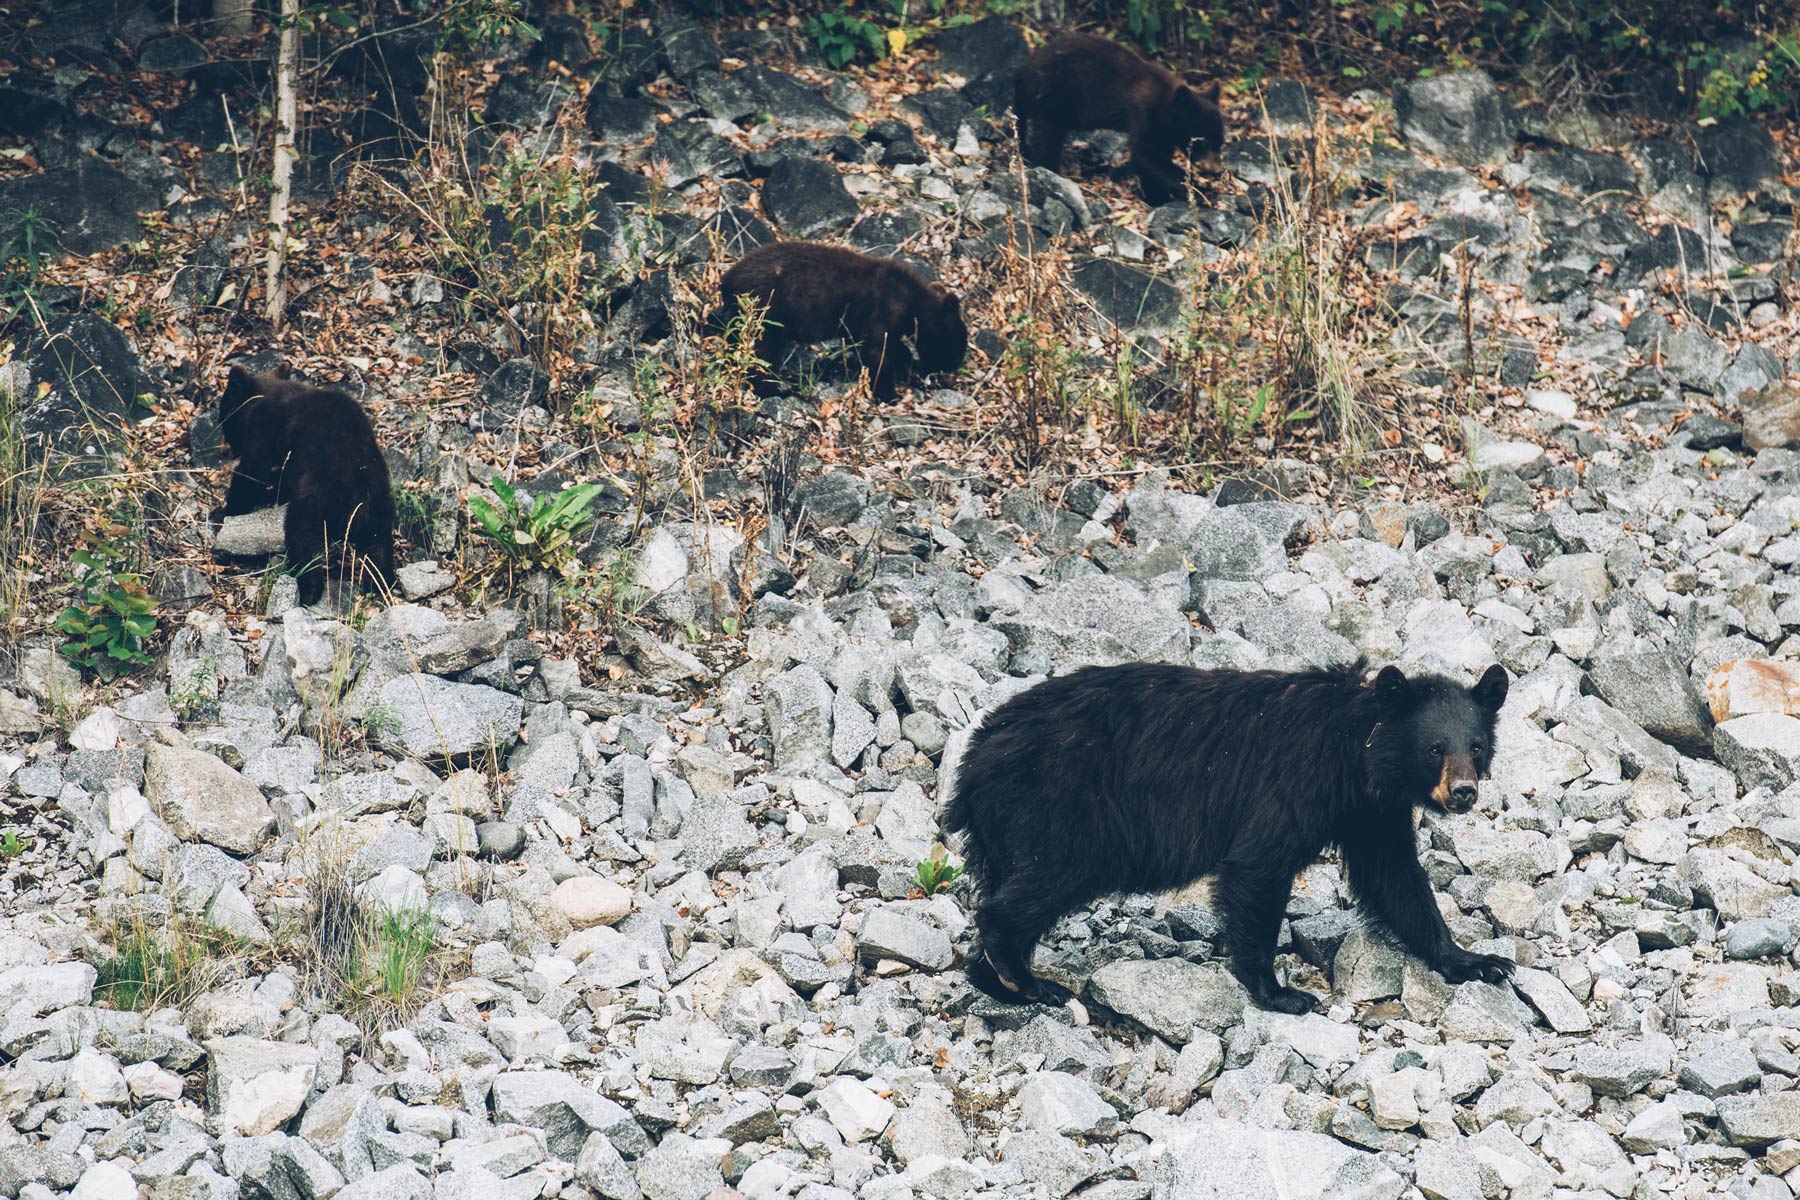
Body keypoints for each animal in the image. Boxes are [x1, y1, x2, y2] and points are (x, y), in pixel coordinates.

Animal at [212, 363, 396, 611]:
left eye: (224, 411)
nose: (227, 446)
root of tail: (359, 498)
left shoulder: (264, 432)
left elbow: (252, 474)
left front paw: (226, 512)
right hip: (380, 505)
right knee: (379, 548)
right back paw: (380, 583)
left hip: (315, 500)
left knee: (303, 540)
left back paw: (307, 590)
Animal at [716, 241, 972, 401]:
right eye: (956, 351)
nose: (949, 378)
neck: (912, 302)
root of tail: (727, 280)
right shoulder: (881, 311)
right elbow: (876, 352)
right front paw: (889, 393)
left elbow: (887, 346)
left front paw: (910, 370)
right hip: (767, 313)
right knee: (761, 353)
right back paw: (777, 389)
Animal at [943, 658, 1519, 1014]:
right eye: (1435, 748)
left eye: (1476, 746)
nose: (1464, 792)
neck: (1356, 753)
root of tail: (976, 755)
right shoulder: (1296, 784)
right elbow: (1260, 864)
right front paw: (1279, 992)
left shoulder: (1370, 812)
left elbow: (1397, 878)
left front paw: (1476, 960)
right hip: (1069, 806)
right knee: (1047, 880)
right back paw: (1024, 977)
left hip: (1007, 828)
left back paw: (996, 979)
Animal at [1015, 31, 1224, 207]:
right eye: (1202, 141)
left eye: (1220, 143)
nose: (1216, 170)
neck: (1165, 104)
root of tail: (1024, 70)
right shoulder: (1144, 117)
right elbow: (1145, 156)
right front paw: (1201, 192)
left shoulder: (1164, 132)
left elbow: (1154, 160)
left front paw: (1157, 196)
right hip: (1052, 97)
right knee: (1046, 137)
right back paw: (1049, 170)